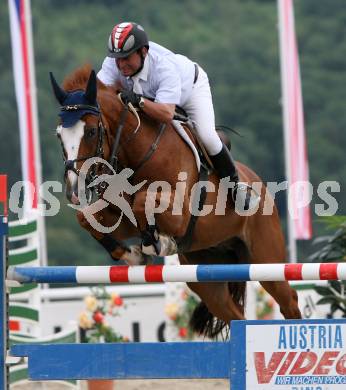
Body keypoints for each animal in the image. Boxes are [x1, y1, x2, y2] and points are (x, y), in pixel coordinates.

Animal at [50, 65, 302, 336]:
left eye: (91, 131)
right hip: (208, 278)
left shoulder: (180, 215)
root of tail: (259, 184)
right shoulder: (120, 217)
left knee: (289, 301)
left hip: (267, 260)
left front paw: (157, 242)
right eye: (59, 135)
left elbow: (142, 201)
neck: (137, 155)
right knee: (234, 314)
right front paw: (132, 254)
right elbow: (86, 218)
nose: (73, 188)